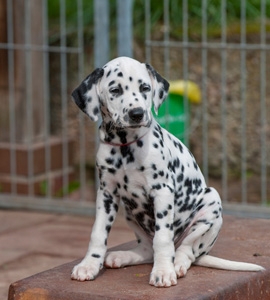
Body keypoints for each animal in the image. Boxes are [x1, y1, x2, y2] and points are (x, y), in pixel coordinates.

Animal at [70, 56, 264, 288]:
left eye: (145, 88)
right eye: (115, 90)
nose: (137, 114)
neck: (126, 146)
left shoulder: (162, 191)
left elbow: (162, 238)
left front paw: (163, 271)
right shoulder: (106, 193)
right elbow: (98, 233)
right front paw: (89, 265)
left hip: (211, 205)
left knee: (186, 250)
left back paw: (177, 264)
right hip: (129, 213)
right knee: (147, 250)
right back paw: (122, 256)